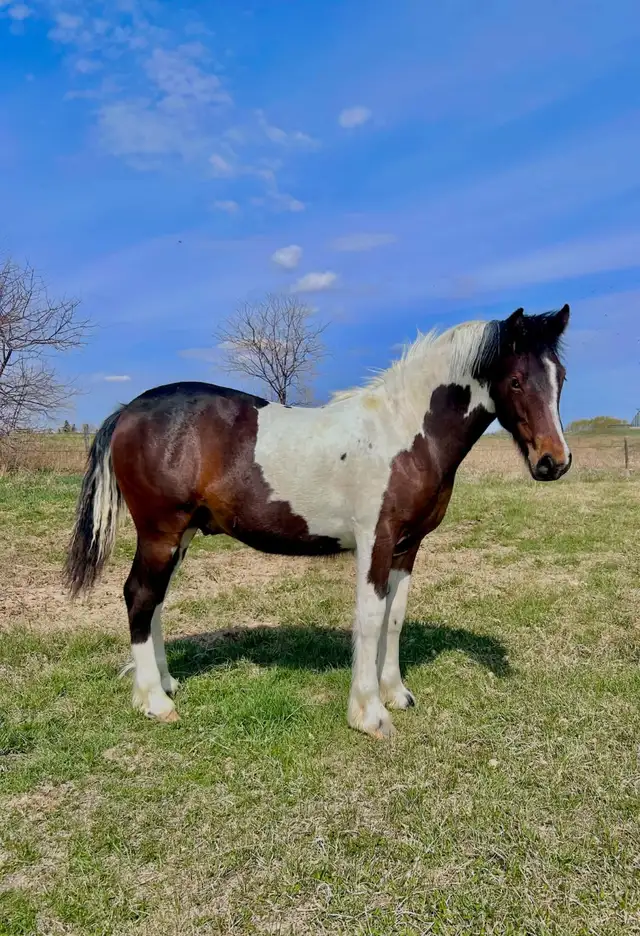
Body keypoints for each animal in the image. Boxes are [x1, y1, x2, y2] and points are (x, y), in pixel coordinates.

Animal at [65, 305, 571, 739]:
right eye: (516, 381)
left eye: (560, 377)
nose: (554, 462)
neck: (406, 434)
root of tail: (127, 411)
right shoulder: (376, 541)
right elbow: (369, 618)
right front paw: (370, 713)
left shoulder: (408, 546)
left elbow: (394, 617)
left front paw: (396, 693)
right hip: (161, 532)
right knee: (139, 596)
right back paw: (154, 701)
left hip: (181, 534)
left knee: (155, 601)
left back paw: (166, 683)